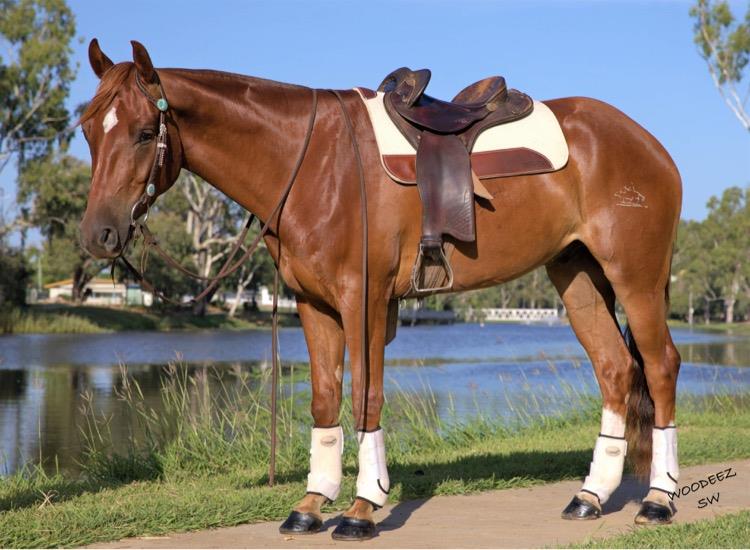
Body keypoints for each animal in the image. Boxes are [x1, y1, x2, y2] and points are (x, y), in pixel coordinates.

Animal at [79, 39, 682, 540]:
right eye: (88, 130)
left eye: (142, 132)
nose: (98, 234)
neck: (312, 163)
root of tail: (648, 142)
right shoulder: (314, 305)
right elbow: (325, 399)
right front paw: (310, 505)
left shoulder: (362, 300)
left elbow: (365, 396)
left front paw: (362, 509)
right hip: (576, 275)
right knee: (614, 368)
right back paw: (590, 496)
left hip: (636, 278)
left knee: (659, 366)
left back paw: (659, 499)